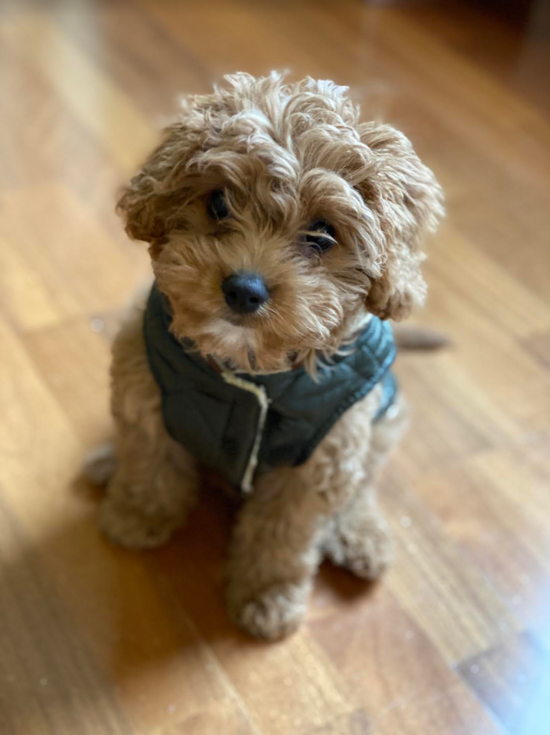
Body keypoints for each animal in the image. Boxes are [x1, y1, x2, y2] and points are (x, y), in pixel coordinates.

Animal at [91, 72, 444, 640]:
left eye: (322, 234)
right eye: (217, 203)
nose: (244, 289)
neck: (254, 374)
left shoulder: (322, 455)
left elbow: (283, 534)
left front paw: (267, 594)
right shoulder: (145, 385)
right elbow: (149, 462)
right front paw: (135, 515)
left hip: (384, 420)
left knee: (363, 485)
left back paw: (362, 535)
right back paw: (107, 462)